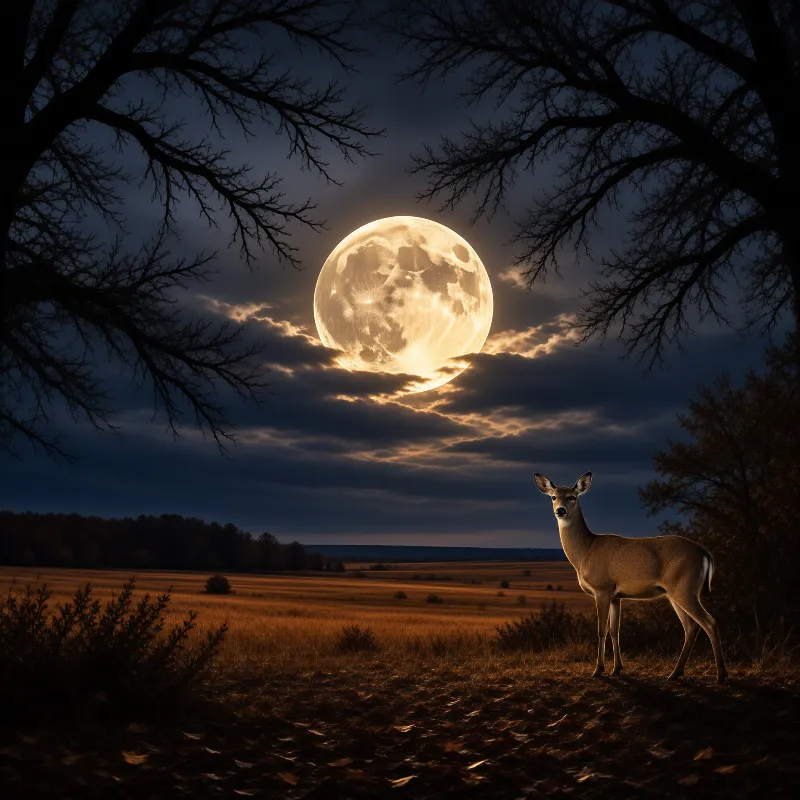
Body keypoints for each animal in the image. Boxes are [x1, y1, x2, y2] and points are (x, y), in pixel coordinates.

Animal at [533, 471, 727, 683]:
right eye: (553, 497)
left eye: (572, 497)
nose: (560, 510)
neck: (586, 552)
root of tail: (705, 554)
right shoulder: (616, 596)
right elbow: (615, 630)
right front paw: (617, 669)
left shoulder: (602, 588)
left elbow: (601, 630)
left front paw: (598, 670)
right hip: (676, 593)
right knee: (691, 627)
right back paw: (675, 673)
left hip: (685, 589)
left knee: (709, 622)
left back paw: (721, 675)